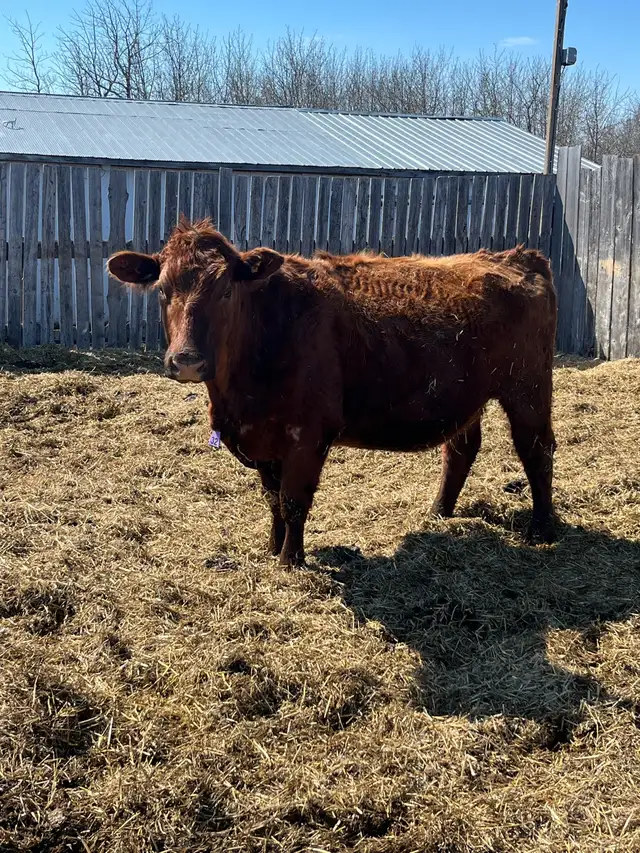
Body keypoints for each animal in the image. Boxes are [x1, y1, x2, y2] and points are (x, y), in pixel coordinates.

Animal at [107, 219, 557, 567]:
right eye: (162, 289)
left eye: (225, 290)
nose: (185, 360)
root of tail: (516, 256)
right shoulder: (263, 441)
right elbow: (273, 500)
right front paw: (272, 548)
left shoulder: (309, 434)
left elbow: (293, 500)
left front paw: (291, 560)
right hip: (465, 396)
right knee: (461, 449)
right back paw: (439, 512)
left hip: (528, 388)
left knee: (536, 449)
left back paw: (541, 528)